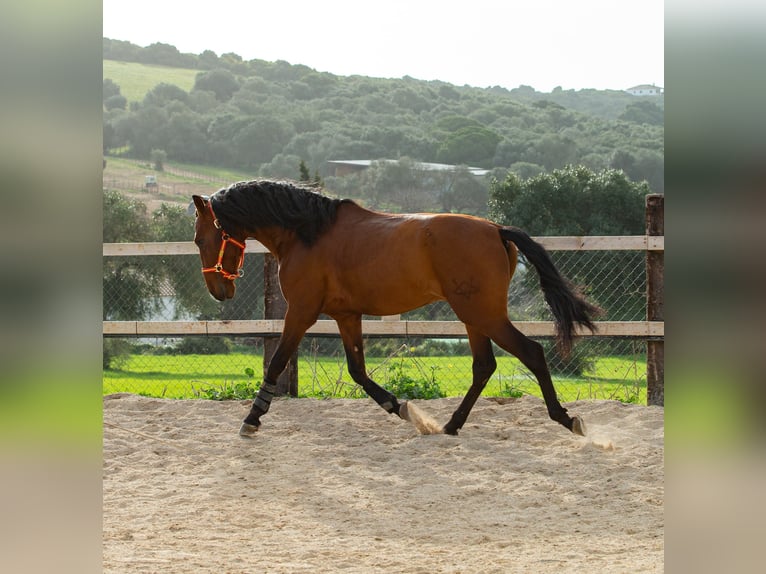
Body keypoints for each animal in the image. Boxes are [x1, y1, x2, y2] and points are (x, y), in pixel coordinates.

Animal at [191, 180, 600, 437]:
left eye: (199, 238)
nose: (219, 290)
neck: (306, 233)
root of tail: (496, 230)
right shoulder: (346, 315)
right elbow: (357, 371)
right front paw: (399, 407)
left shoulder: (302, 312)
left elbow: (277, 363)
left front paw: (252, 419)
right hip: (473, 316)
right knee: (484, 366)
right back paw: (450, 426)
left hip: (483, 314)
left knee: (531, 353)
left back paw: (566, 419)